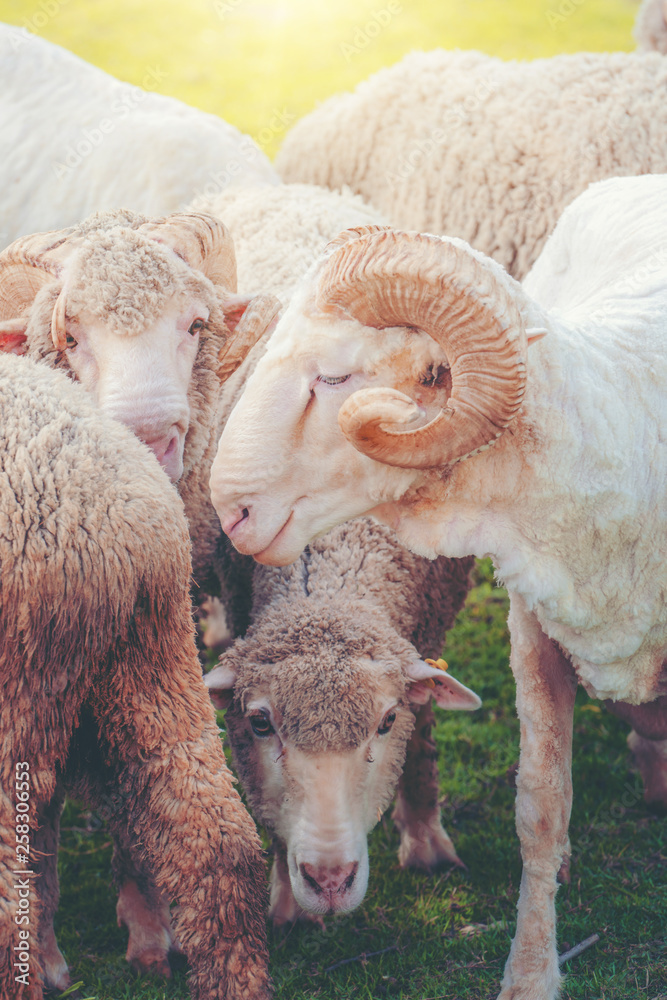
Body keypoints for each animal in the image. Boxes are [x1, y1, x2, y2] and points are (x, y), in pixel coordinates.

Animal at [205, 520, 480, 924]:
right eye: (260, 723)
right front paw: (291, 909)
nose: (330, 881)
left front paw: (426, 843)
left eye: (388, 721)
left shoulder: (430, 623)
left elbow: (419, 733)